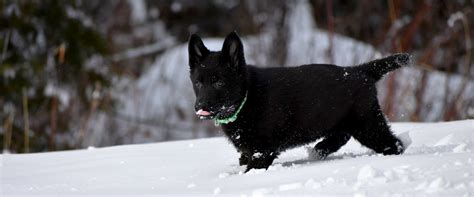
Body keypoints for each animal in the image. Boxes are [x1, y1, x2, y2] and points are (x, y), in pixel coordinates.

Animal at [187, 31, 410, 172]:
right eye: (198, 83)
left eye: (219, 82)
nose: (200, 107)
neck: (246, 98)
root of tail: (360, 71)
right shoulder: (248, 150)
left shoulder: (262, 152)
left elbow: (252, 169)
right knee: (341, 135)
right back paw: (319, 150)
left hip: (367, 124)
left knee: (394, 144)